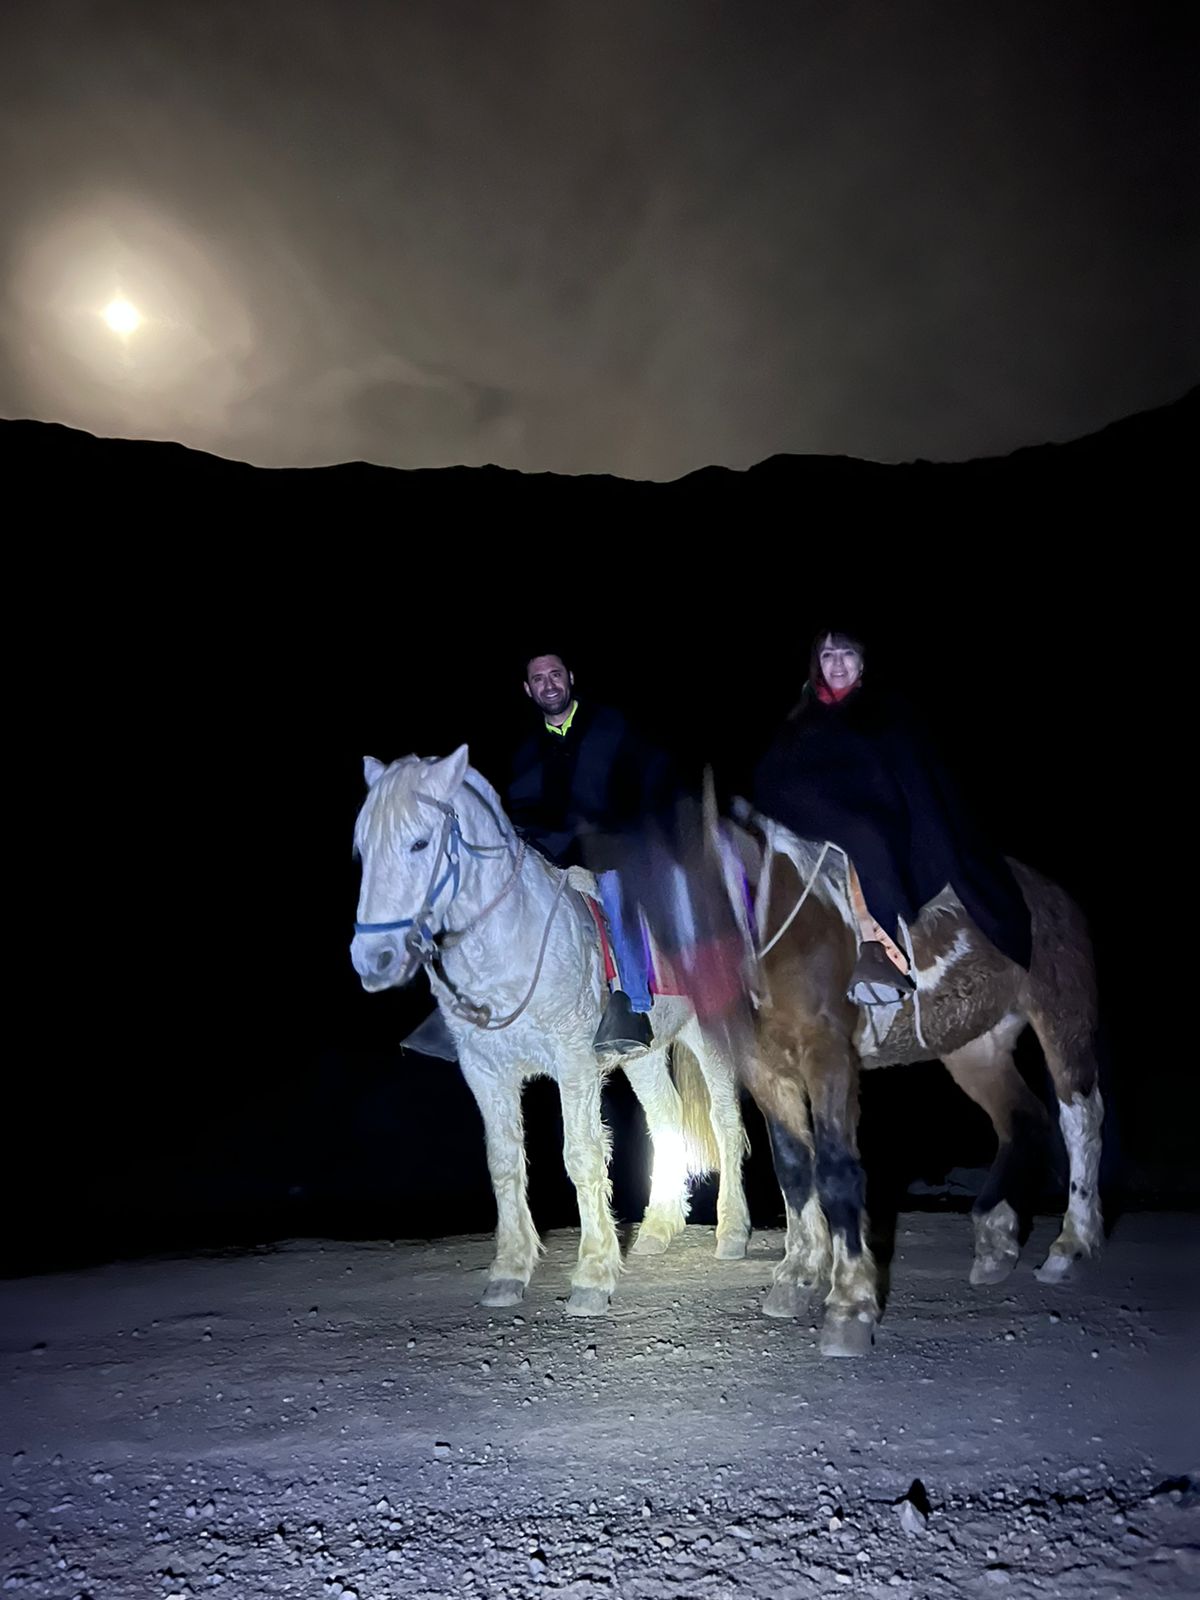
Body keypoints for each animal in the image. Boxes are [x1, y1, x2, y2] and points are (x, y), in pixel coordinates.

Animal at [345, 745, 752, 1312]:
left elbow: (581, 1156)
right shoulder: (485, 1072)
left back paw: (732, 1232)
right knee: (667, 1118)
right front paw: (510, 1269)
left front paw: (594, 1273)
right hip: (644, 1054)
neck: (506, 943)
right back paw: (658, 1227)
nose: (373, 960)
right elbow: (503, 1162)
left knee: (724, 1122)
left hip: (709, 1037)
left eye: (419, 842)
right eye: (362, 850)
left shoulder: (574, 1062)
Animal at [742, 819, 1107, 1356]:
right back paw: (995, 1241)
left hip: (1063, 1017)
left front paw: (848, 1308)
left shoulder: (828, 1052)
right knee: (1022, 1117)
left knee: (1080, 1119)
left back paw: (1071, 1245)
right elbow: (792, 1167)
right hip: (975, 1047)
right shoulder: (762, 1065)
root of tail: (1056, 895)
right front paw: (798, 1277)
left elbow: (835, 1168)